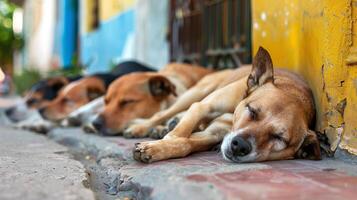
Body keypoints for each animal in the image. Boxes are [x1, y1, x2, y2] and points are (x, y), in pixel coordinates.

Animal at [133, 47, 320, 163]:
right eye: (252, 111)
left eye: (279, 138)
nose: (240, 146)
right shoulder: (204, 106)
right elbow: (181, 131)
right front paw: (162, 142)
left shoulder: (211, 135)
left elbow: (186, 143)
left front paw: (160, 148)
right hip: (197, 92)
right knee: (163, 114)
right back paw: (141, 127)